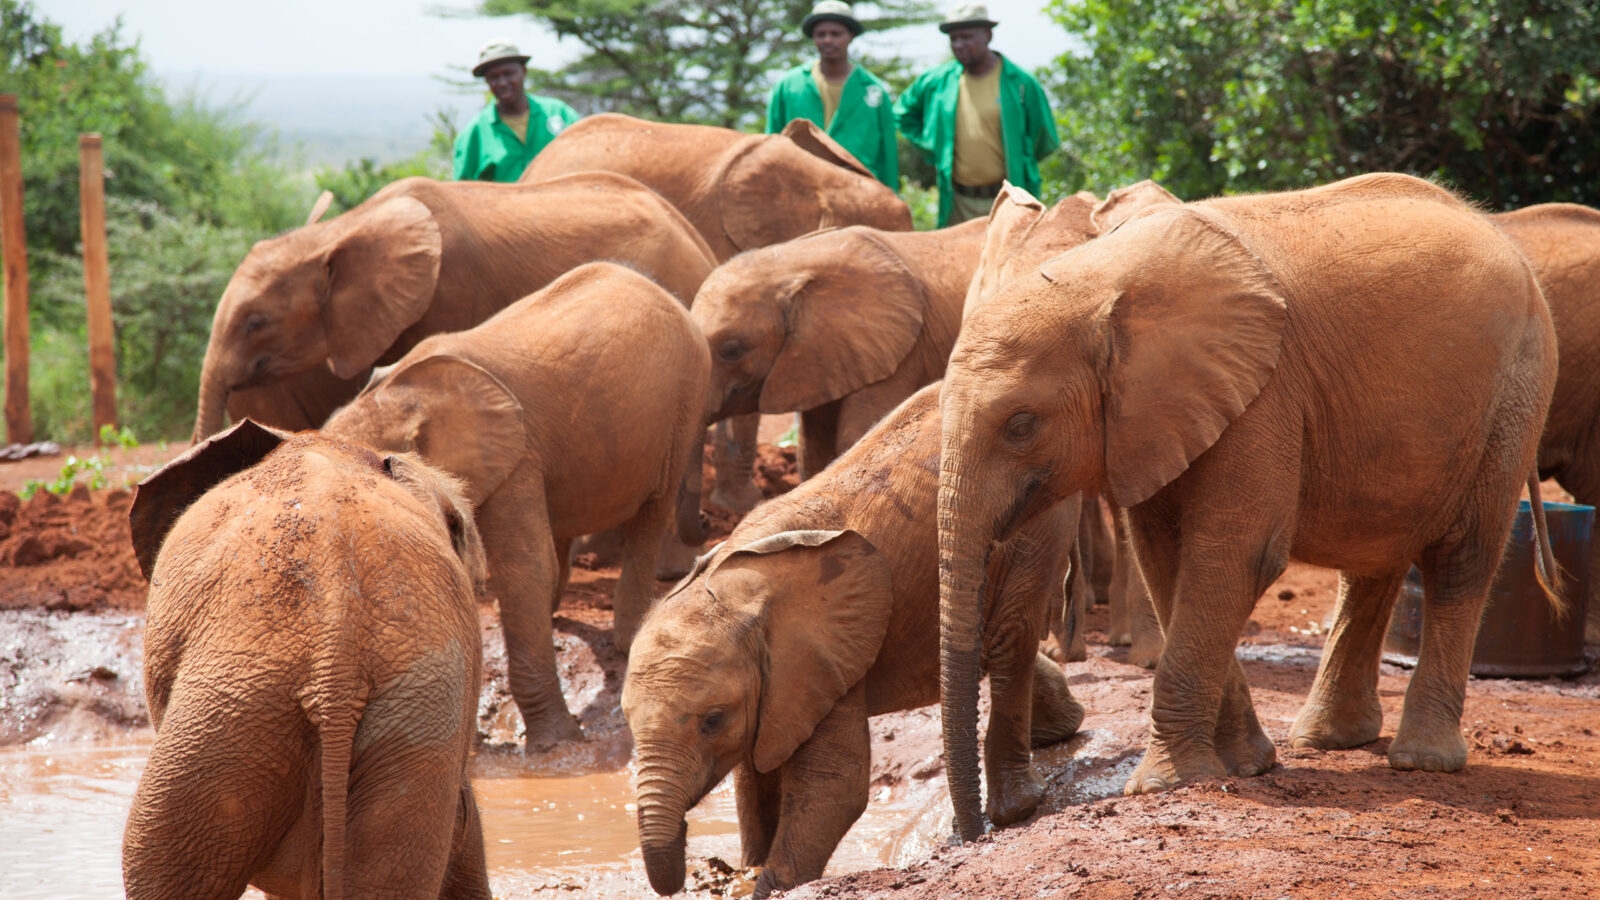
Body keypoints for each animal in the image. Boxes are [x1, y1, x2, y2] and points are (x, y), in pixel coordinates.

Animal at [324, 262, 710, 752]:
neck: (395, 400)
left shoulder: (515, 457)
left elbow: (524, 569)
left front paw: (554, 745)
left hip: (685, 400)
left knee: (651, 511)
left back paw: (626, 640)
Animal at [623, 383, 1084, 899]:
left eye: (712, 721)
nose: (693, 862)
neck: (731, 590)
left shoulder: (822, 657)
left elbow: (834, 786)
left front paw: (766, 885)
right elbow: (754, 777)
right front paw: (748, 869)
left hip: (1039, 522)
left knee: (1011, 637)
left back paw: (1018, 801)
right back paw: (1060, 728)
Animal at [935, 172, 1561, 839]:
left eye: (1021, 426)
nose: (980, 831)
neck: (1097, 277)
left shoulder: (1263, 391)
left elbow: (1235, 558)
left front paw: (1164, 785)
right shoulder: (1159, 414)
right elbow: (1169, 564)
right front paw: (1247, 765)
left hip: (1516, 393)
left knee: (1461, 559)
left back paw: (1422, 762)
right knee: (1373, 561)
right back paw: (1326, 740)